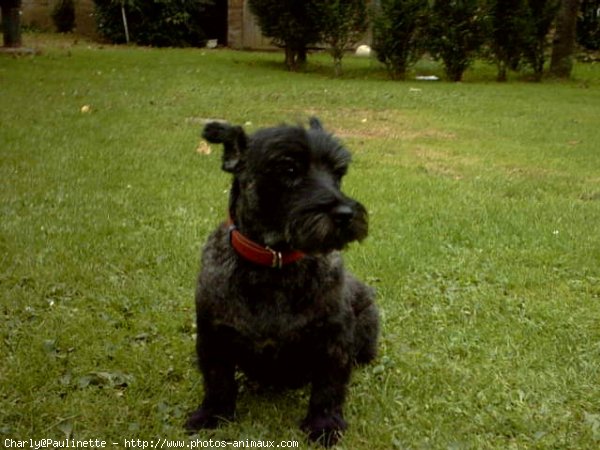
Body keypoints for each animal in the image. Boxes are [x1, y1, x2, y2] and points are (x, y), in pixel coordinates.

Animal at [186, 118, 380, 444]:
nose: (345, 214)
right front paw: (212, 413)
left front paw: (324, 424)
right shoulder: (213, 335)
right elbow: (217, 379)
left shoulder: (334, 337)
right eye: (288, 169)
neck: (274, 263)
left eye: (338, 172)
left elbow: (328, 386)